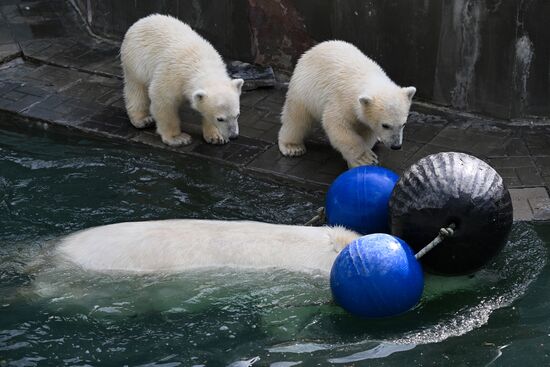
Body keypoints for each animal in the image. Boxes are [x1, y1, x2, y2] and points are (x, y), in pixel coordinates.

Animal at [122, 14, 245, 147]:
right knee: (136, 88)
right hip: (136, 60)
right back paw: (142, 120)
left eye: (237, 115)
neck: (201, 65)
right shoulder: (171, 75)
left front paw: (216, 137)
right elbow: (164, 101)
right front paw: (178, 138)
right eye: (220, 118)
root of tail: (142, 20)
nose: (234, 136)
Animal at [278, 41, 416, 167]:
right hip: (304, 90)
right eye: (385, 125)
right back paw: (292, 146)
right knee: (297, 118)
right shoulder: (342, 100)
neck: (366, 78)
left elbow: (366, 131)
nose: (396, 146)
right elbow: (337, 125)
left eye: (404, 124)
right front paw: (365, 159)